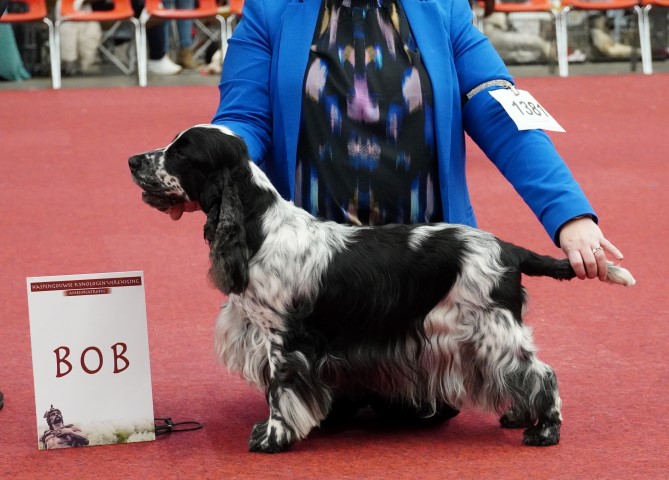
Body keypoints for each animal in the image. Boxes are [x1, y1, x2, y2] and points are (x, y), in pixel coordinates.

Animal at [129, 124, 635, 453]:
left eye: (181, 152)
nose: (133, 160)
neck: (258, 227)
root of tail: (507, 248)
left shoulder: (283, 339)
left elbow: (279, 391)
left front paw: (271, 439)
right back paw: (516, 415)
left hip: (492, 328)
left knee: (542, 373)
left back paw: (543, 431)